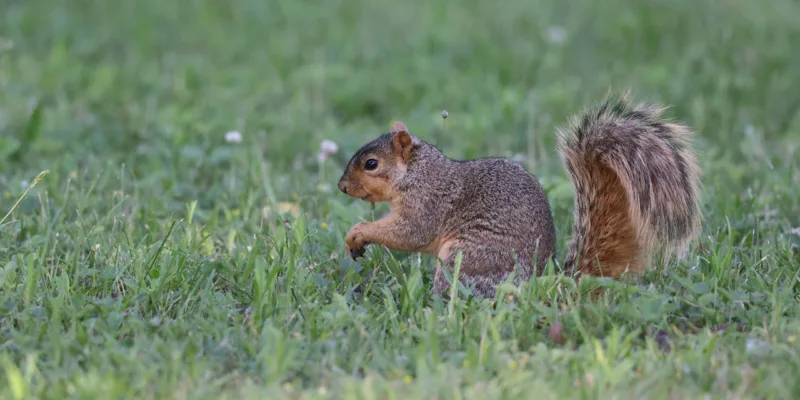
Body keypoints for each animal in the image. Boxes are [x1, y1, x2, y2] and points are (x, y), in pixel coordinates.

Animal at [337, 95, 702, 298]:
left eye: (371, 164)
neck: (417, 172)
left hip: (467, 258)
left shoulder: (427, 203)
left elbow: (410, 233)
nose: (341, 186)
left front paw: (358, 232)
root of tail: (543, 282)